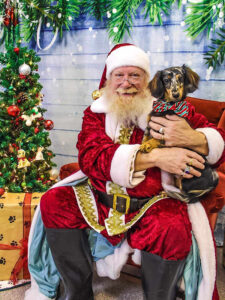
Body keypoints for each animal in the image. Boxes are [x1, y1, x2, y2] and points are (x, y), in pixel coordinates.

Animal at [140, 64, 219, 203]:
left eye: (180, 78)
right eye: (166, 80)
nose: (176, 94)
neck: (168, 107)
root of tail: (211, 184)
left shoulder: (170, 134)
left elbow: (158, 138)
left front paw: (148, 145)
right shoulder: (150, 124)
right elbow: (146, 136)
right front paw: (143, 145)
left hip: (187, 180)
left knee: (185, 196)